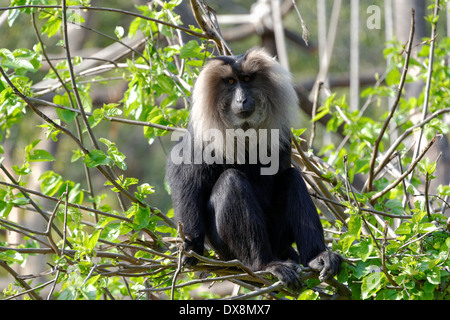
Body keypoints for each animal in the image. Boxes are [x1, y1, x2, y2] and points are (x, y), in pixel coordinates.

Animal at [166, 47, 342, 290]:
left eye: (247, 79)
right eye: (231, 82)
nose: (242, 99)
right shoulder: (201, 135)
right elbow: (184, 177)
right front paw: (191, 247)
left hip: (278, 240)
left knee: (292, 177)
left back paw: (317, 257)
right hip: (226, 249)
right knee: (231, 180)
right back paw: (265, 265)